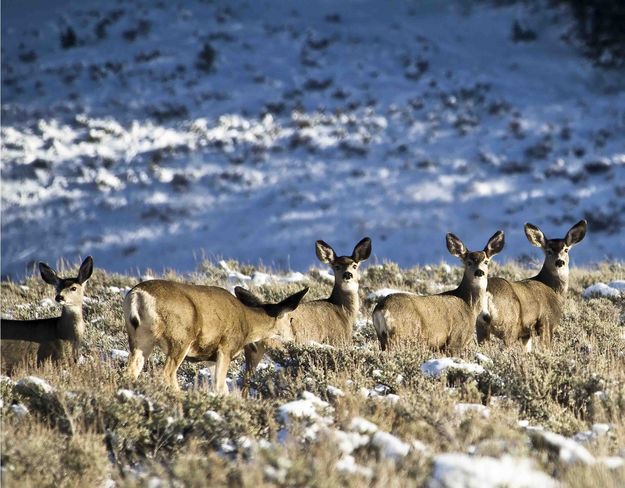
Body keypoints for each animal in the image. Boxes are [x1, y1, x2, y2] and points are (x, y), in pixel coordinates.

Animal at [122, 280, 308, 394]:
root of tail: (137, 295)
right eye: (291, 319)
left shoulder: (209, 357)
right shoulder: (226, 347)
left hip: (140, 339)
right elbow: (220, 385)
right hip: (180, 339)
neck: (247, 323)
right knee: (167, 373)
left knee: (131, 371)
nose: (295, 340)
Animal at [241, 237, 370, 386]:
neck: (343, 311)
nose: (347, 275)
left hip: (252, 352)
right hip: (282, 344)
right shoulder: (338, 339)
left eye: (355, 265)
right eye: (336, 266)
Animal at [370, 231, 502, 352]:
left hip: (382, 338)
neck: (469, 305)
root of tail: (381, 309)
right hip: (401, 335)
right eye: (468, 262)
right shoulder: (457, 338)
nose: (479, 272)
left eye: (486, 261)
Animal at [476, 220, 588, 350]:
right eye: (548, 251)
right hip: (509, 324)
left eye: (566, 249)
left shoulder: (526, 334)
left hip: (481, 326)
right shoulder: (547, 321)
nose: (560, 262)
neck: (553, 290)